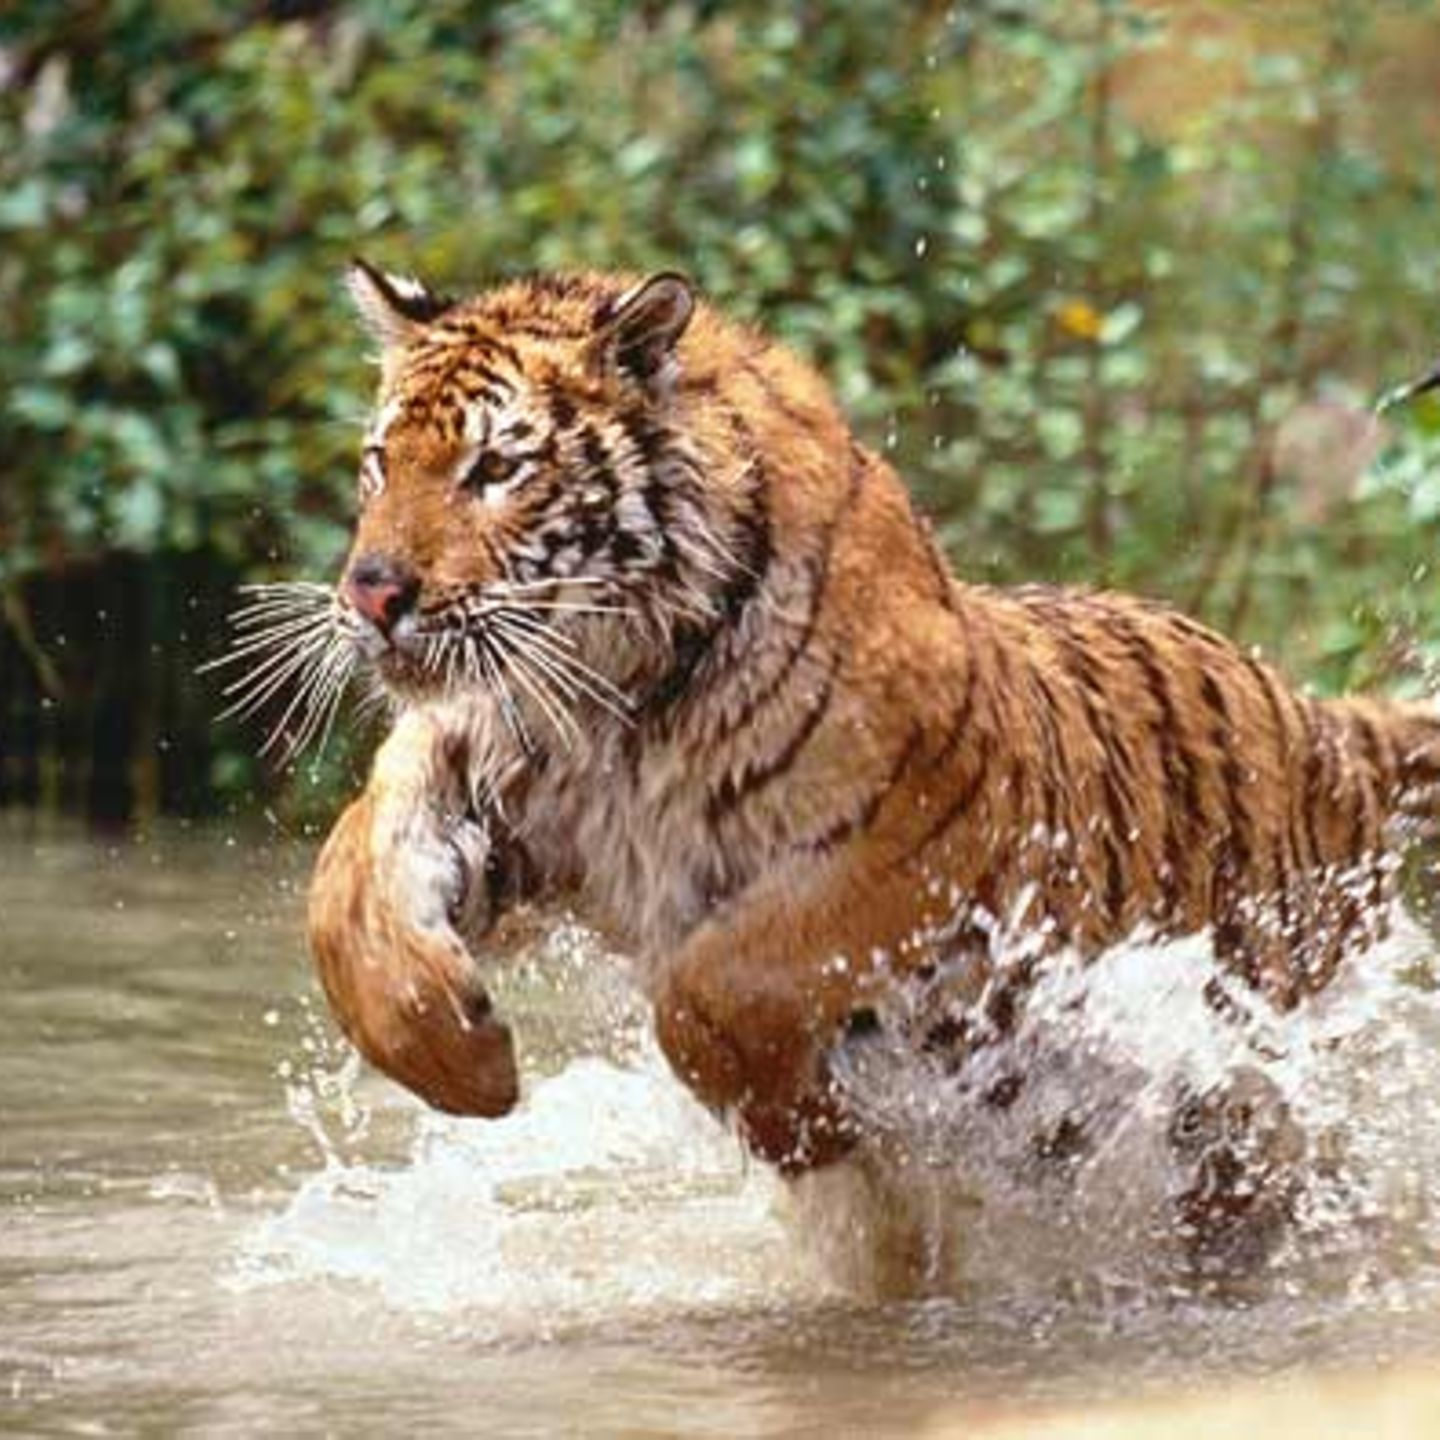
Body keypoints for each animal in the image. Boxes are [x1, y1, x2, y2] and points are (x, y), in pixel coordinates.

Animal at [298, 259, 1440, 1261]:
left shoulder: (914, 849)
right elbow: (346, 892)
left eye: (496, 469)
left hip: (1248, 1084)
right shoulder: (482, 764)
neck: (615, 693)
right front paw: (465, 1063)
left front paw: (806, 1130)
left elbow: (708, 990)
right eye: (379, 463)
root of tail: (1323, 721)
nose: (371, 592)